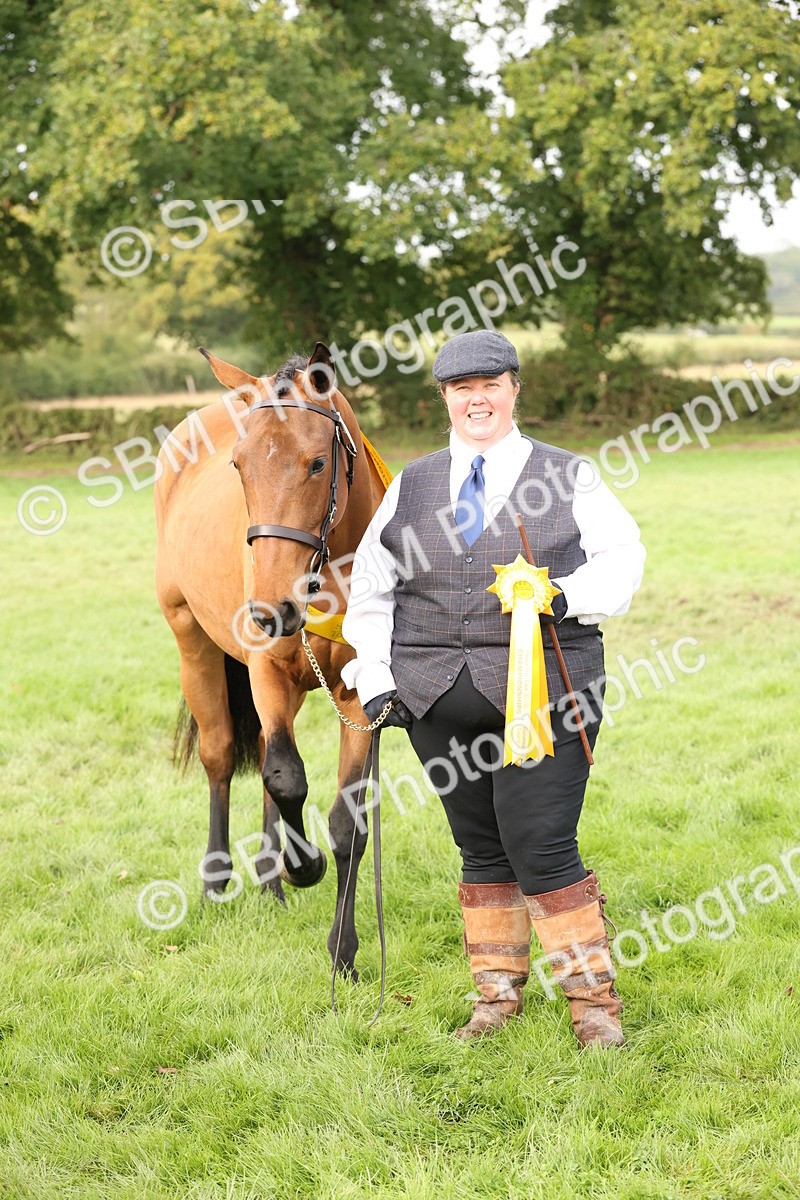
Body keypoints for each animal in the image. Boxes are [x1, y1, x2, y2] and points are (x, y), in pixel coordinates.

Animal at [154, 343, 388, 978]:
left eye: (316, 463)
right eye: (239, 466)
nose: (271, 609)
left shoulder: (361, 697)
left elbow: (346, 819)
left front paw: (343, 951)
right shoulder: (262, 669)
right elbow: (286, 777)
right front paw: (303, 864)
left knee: (260, 752)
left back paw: (269, 882)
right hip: (191, 642)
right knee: (221, 757)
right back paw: (218, 882)